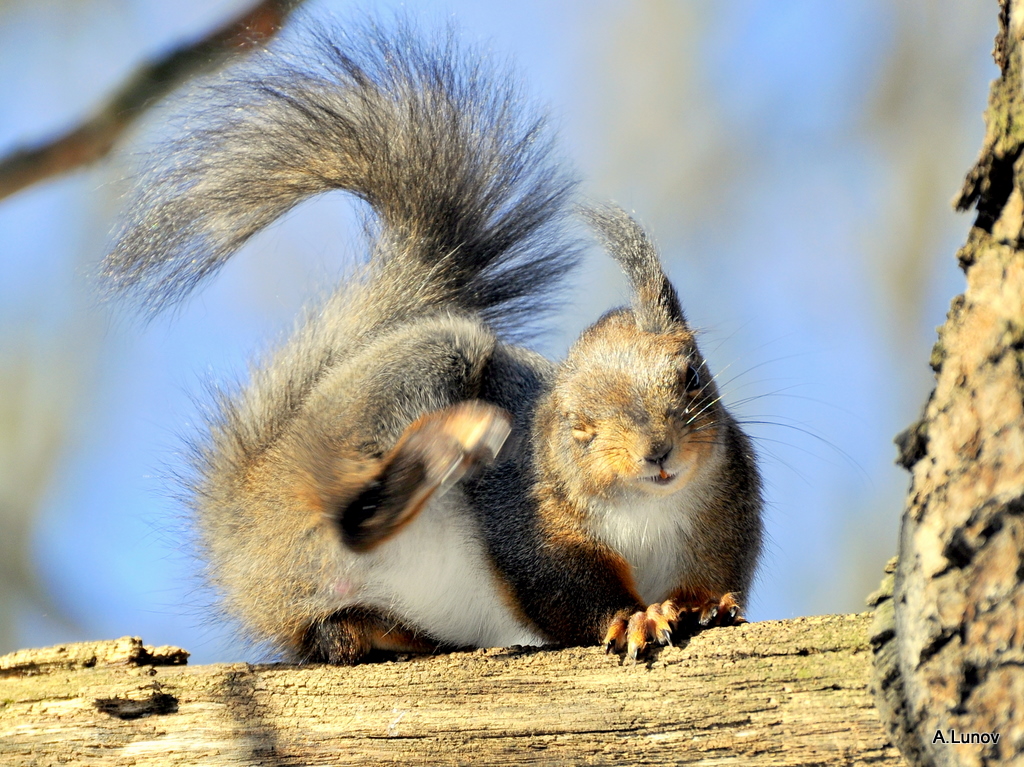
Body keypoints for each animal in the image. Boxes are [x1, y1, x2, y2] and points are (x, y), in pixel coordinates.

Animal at [103, 19, 761, 663]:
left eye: (690, 374)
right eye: (577, 425)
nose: (658, 452)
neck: (651, 510)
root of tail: (242, 523)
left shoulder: (725, 519)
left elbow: (706, 581)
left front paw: (705, 605)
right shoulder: (528, 524)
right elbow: (567, 594)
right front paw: (635, 617)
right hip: (409, 381)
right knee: (346, 533)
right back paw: (430, 460)